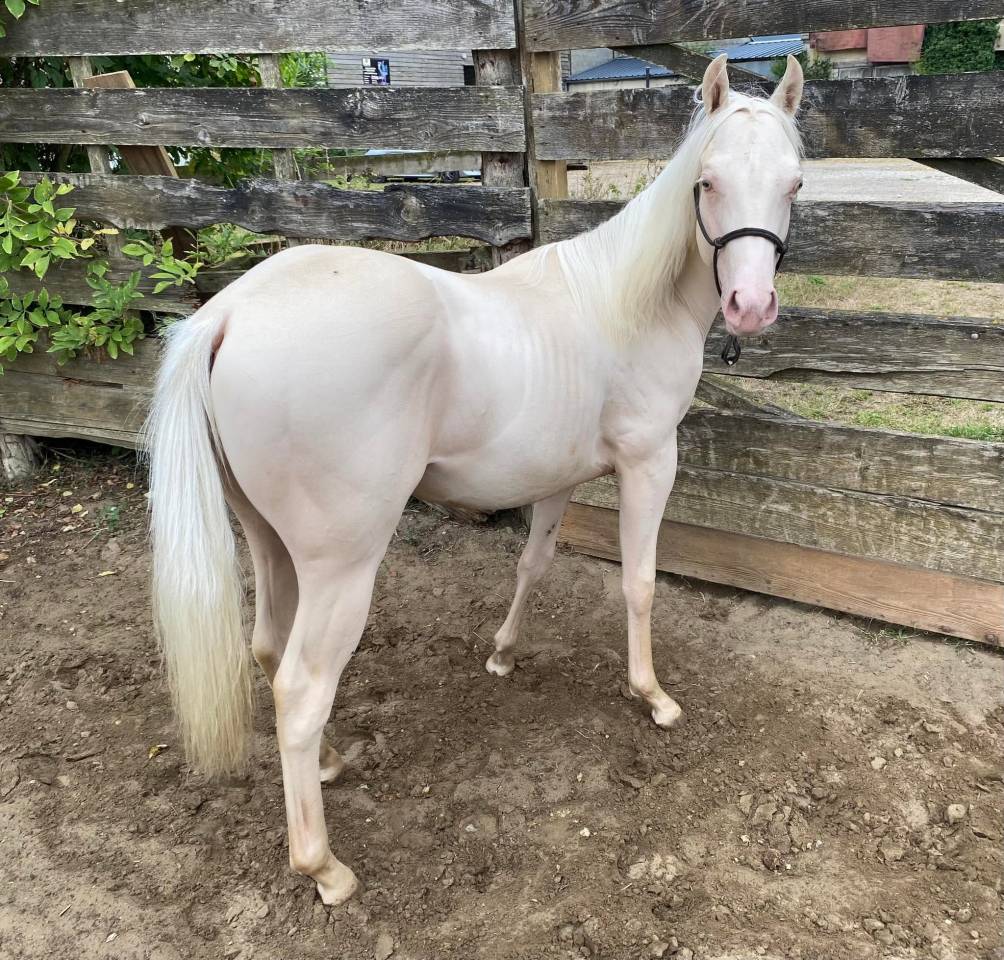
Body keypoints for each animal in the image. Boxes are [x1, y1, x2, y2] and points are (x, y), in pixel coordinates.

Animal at [148, 54, 805, 905]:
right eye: (709, 181)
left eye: (793, 183)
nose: (751, 306)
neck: (627, 304)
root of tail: (225, 315)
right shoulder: (648, 464)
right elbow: (639, 584)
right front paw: (652, 696)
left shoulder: (559, 477)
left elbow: (534, 563)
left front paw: (502, 653)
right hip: (341, 568)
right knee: (300, 689)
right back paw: (324, 868)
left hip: (268, 542)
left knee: (267, 650)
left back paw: (330, 763)